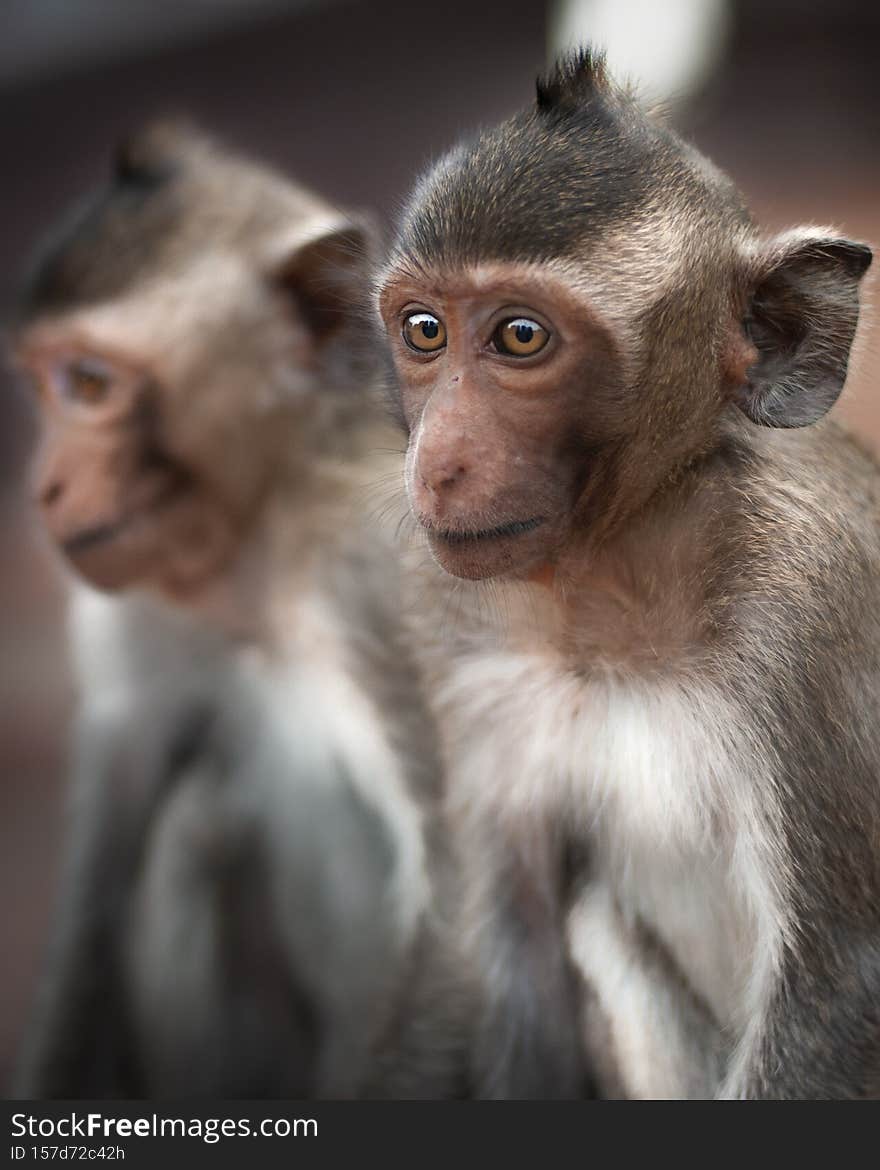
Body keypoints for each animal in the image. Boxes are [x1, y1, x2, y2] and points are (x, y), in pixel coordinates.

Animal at [10, 120, 465, 1099]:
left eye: (91, 385)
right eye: (45, 383)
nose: (43, 487)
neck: (269, 526)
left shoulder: (390, 575)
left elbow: (461, 876)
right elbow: (125, 783)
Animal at [375, 48, 880, 1099]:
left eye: (521, 337)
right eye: (425, 330)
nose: (436, 461)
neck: (613, 590)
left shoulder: (811, 615)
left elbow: (836, 982)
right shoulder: (454, 627)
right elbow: (506, 949)